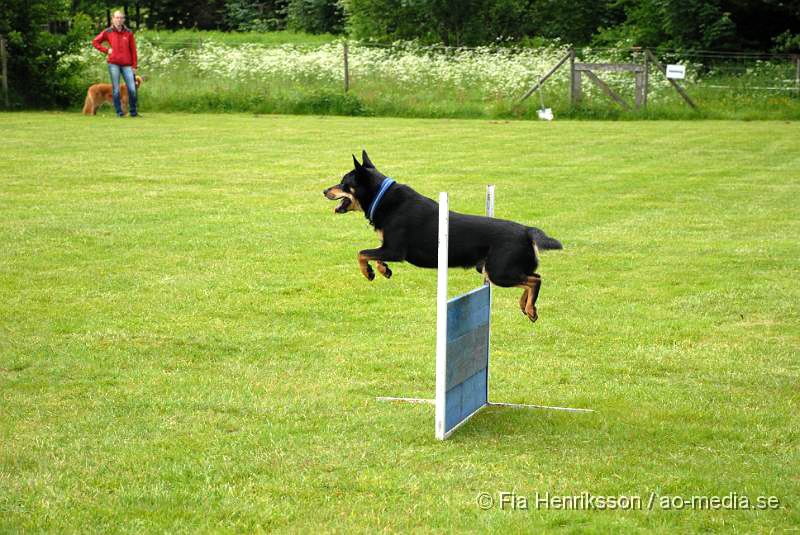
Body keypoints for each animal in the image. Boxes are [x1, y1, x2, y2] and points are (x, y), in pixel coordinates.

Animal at [320, 151, 564, 322]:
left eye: (343, 182)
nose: (324, 191)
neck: (382, 198)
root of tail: (527, 230)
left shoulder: (395, 250)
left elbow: (361, 253)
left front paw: (369, 273)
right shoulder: (387, 248)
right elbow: (374, 254)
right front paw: (383, 270)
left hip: (498, 272)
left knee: (535, 280)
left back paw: (530, 308)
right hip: (495, 270)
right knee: (534, 277)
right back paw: (526, 305)